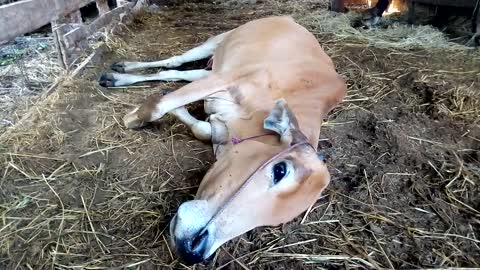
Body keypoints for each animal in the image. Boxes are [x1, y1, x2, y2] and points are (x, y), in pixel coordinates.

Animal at [98, 15, 344, 264]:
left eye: (275, 221)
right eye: (280, 170)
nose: (192, 250)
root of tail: (288, 18)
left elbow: (199, 127)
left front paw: (176, 110)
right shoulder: (224, 79)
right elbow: (159, 106)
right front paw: (134, 117)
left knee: (175, 73)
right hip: (215, 43)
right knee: (174, 62)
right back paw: (120, 72)